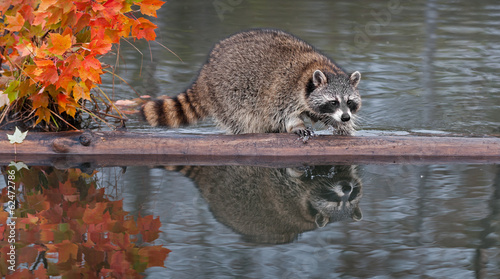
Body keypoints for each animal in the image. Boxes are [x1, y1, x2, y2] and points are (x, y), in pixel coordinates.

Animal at [140, 28, 360, 137]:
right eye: (333, 101)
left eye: (349, 102)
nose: (346, 117)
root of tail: (205, 71)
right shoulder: (283, 87)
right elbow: (281, 113)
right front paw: (295, 124)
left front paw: (341, 126)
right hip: (227, 95)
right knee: (243, 118)